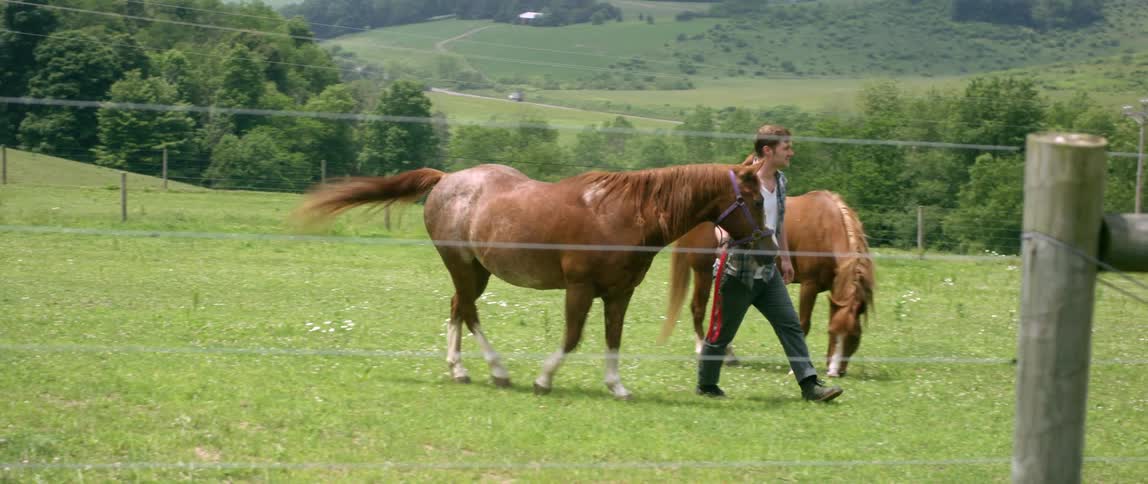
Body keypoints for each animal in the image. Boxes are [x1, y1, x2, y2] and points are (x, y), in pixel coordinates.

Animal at [295, 163, 772, 399]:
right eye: (752, 200)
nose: (768, 246)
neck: (622, 214)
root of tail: (446, 180)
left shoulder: (619, 293)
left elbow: (613, 339)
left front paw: (617, 386)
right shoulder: (580, 288)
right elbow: (573, 337)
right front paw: (544, 380)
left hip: (477, 270)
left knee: (456, 308)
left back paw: (458, 369)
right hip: (462, 265)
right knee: (469, 312)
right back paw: (497, 371)